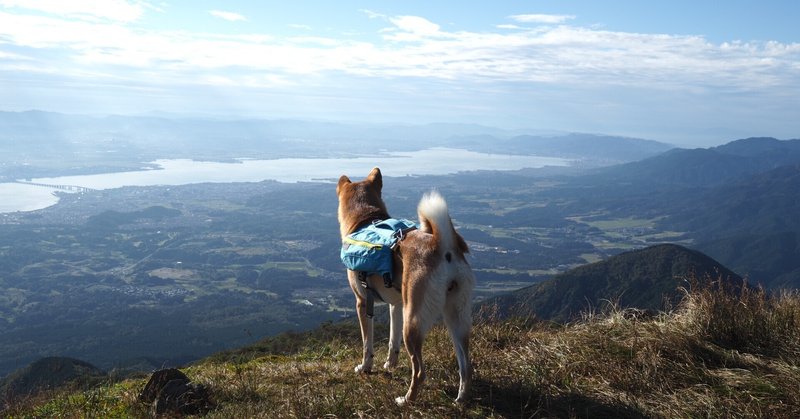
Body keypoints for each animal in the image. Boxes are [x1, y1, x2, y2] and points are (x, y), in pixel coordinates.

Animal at [332, 167, 472, 406]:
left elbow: (367, 344)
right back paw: (460, 399)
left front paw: (365, 368)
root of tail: (443, 247)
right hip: (456, 318)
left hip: (413, 320)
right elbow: (392, 341)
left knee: (420, 371)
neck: (365, 218)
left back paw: (406, 400)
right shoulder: (396, 304)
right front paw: (390, 365)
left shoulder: (363, 302)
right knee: (466, 366)